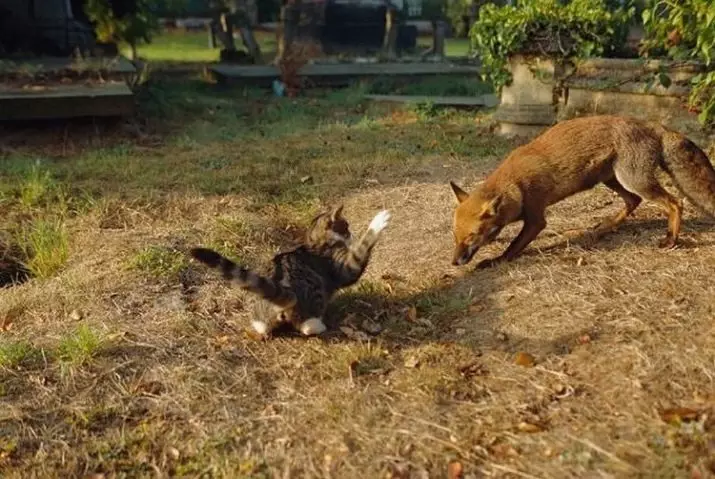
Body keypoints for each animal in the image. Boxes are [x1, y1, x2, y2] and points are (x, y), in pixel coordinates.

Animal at [189, 206, 392, 338]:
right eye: (346, 227)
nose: (352, 235)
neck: (314, 242)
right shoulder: (346, 267)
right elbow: (363, 247)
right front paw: (378, 221)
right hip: (314, 294)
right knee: (305, 326)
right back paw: (318, 325)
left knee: (261, 326)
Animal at [450, 114, 715, 268]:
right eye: (455, 236)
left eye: (471, 237)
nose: (454, 262)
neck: (515, 185)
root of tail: (653, 125)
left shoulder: (536, 217)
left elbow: (514, 246)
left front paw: (496, 260)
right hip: (612, 180)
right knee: (633, 202)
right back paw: (602, 229)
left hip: (634, 180)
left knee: (675, 203)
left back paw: (671, 239)